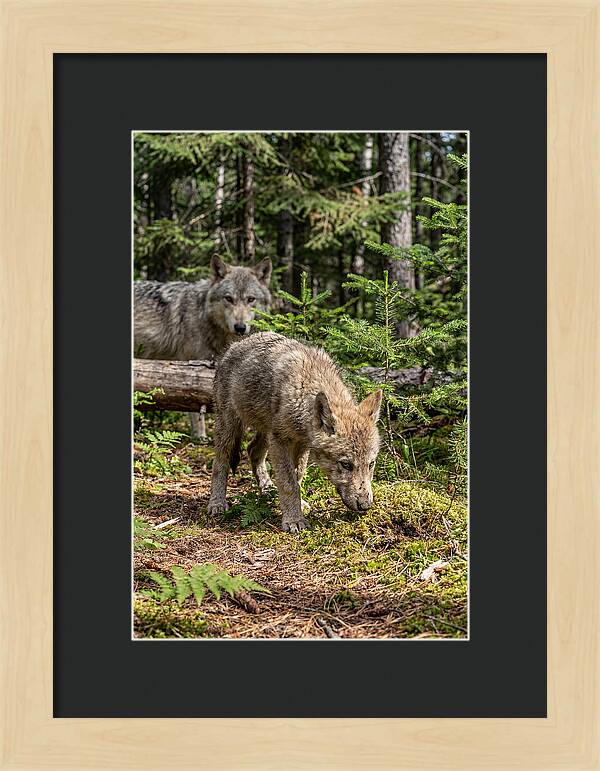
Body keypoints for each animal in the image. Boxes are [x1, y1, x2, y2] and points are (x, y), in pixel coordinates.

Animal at [134, 255, 272, 437]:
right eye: (229, 298)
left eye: (251, 299)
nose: (240, 327)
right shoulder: (191, 368)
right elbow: (195, 408)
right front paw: (200, 437)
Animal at [207, 332, 382, 532]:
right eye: (346, 465)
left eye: (371, 464)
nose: (365, 505)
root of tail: (233, 345)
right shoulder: (281, 441)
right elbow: (288, 483)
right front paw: (293, 520)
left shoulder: (302, 444)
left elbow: (297, 477)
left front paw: (298, 506)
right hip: (230, 427)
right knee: (220, 462)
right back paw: (217, 503)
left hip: (266, 432)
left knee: (252, 450)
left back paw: (267, 489)